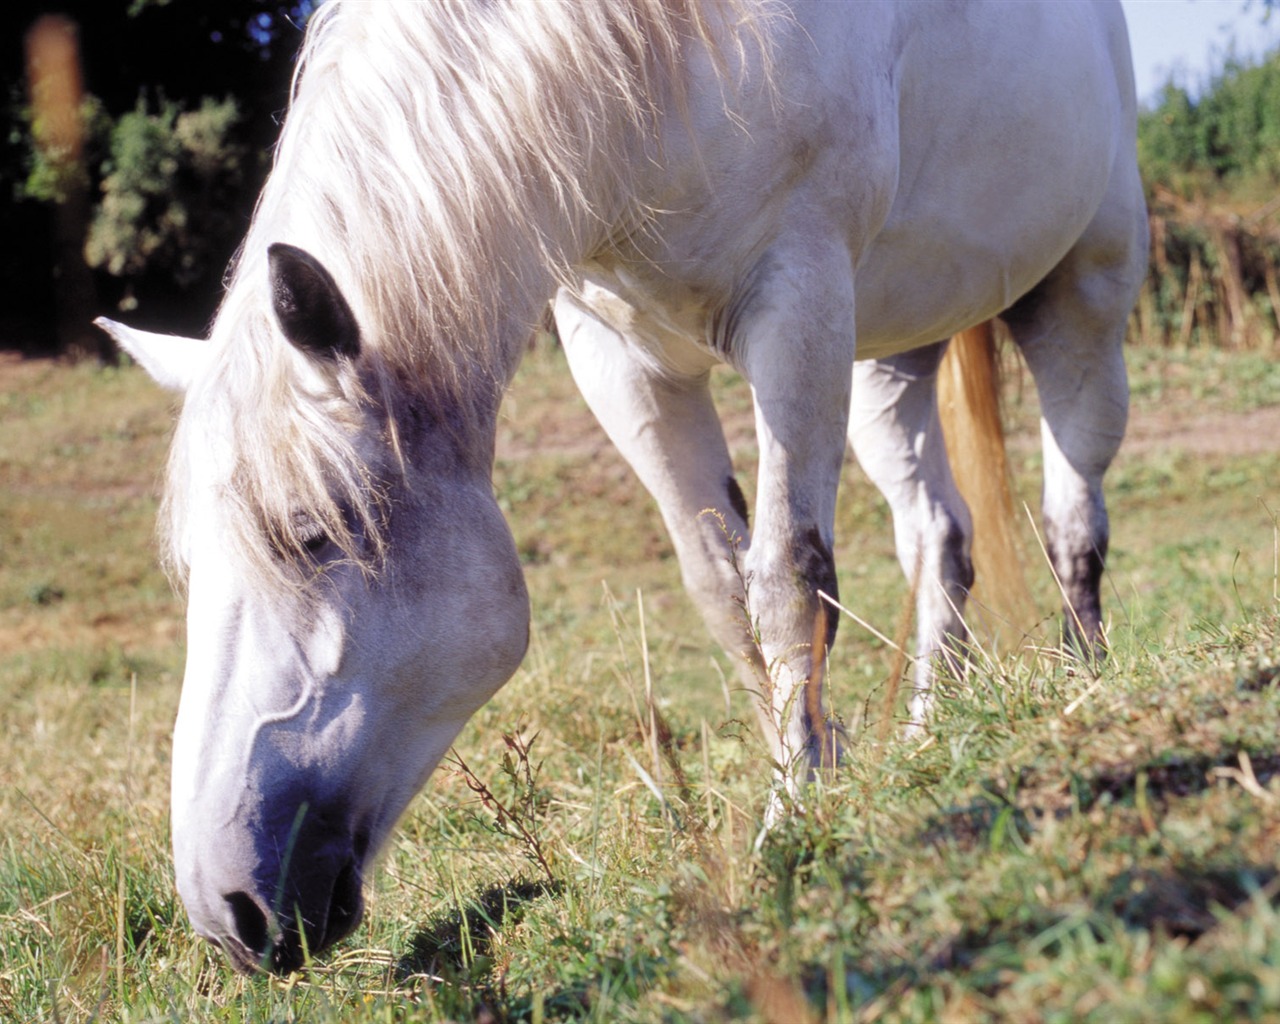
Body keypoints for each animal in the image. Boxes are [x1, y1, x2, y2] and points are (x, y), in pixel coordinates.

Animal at [97, 0, 1141, 977]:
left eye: (312, 533)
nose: (230, 914)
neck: (660, 59)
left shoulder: (799, 298)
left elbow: (789, 577)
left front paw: (796, 817)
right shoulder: (623, 360)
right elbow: (725, 592)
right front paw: (817, 763)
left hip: (1083, 287)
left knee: (1073, 510)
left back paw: (1087, 679)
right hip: (895, 352)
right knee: (938, 536)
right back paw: (929, 728)